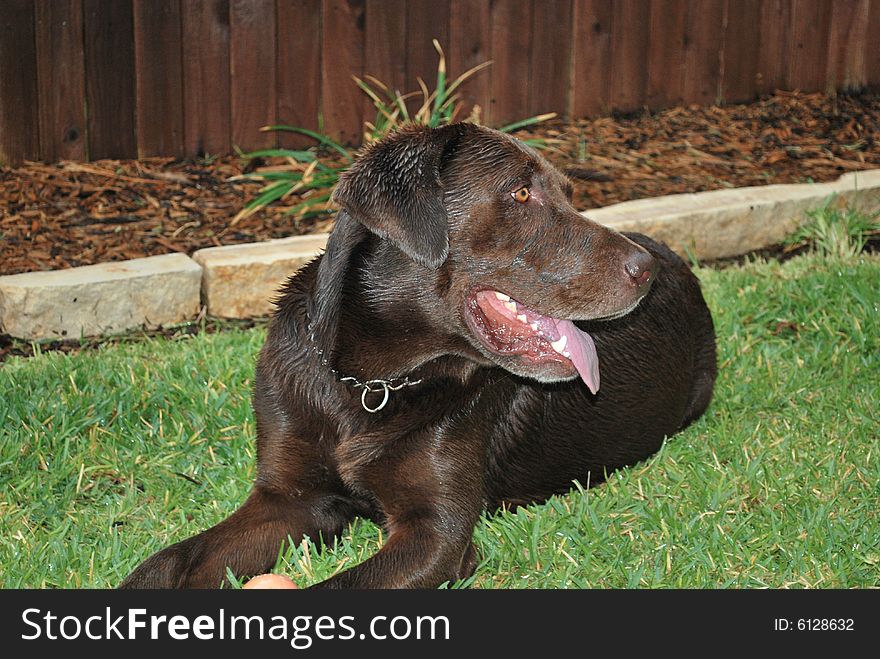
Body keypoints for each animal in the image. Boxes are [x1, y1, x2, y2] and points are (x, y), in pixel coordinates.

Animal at [122, 122, 716, 588]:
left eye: (569, 194)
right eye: (522, 194)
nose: (644, 271)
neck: (367, 382)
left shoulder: (436, 536)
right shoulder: (287, 498)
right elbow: (168, 562)